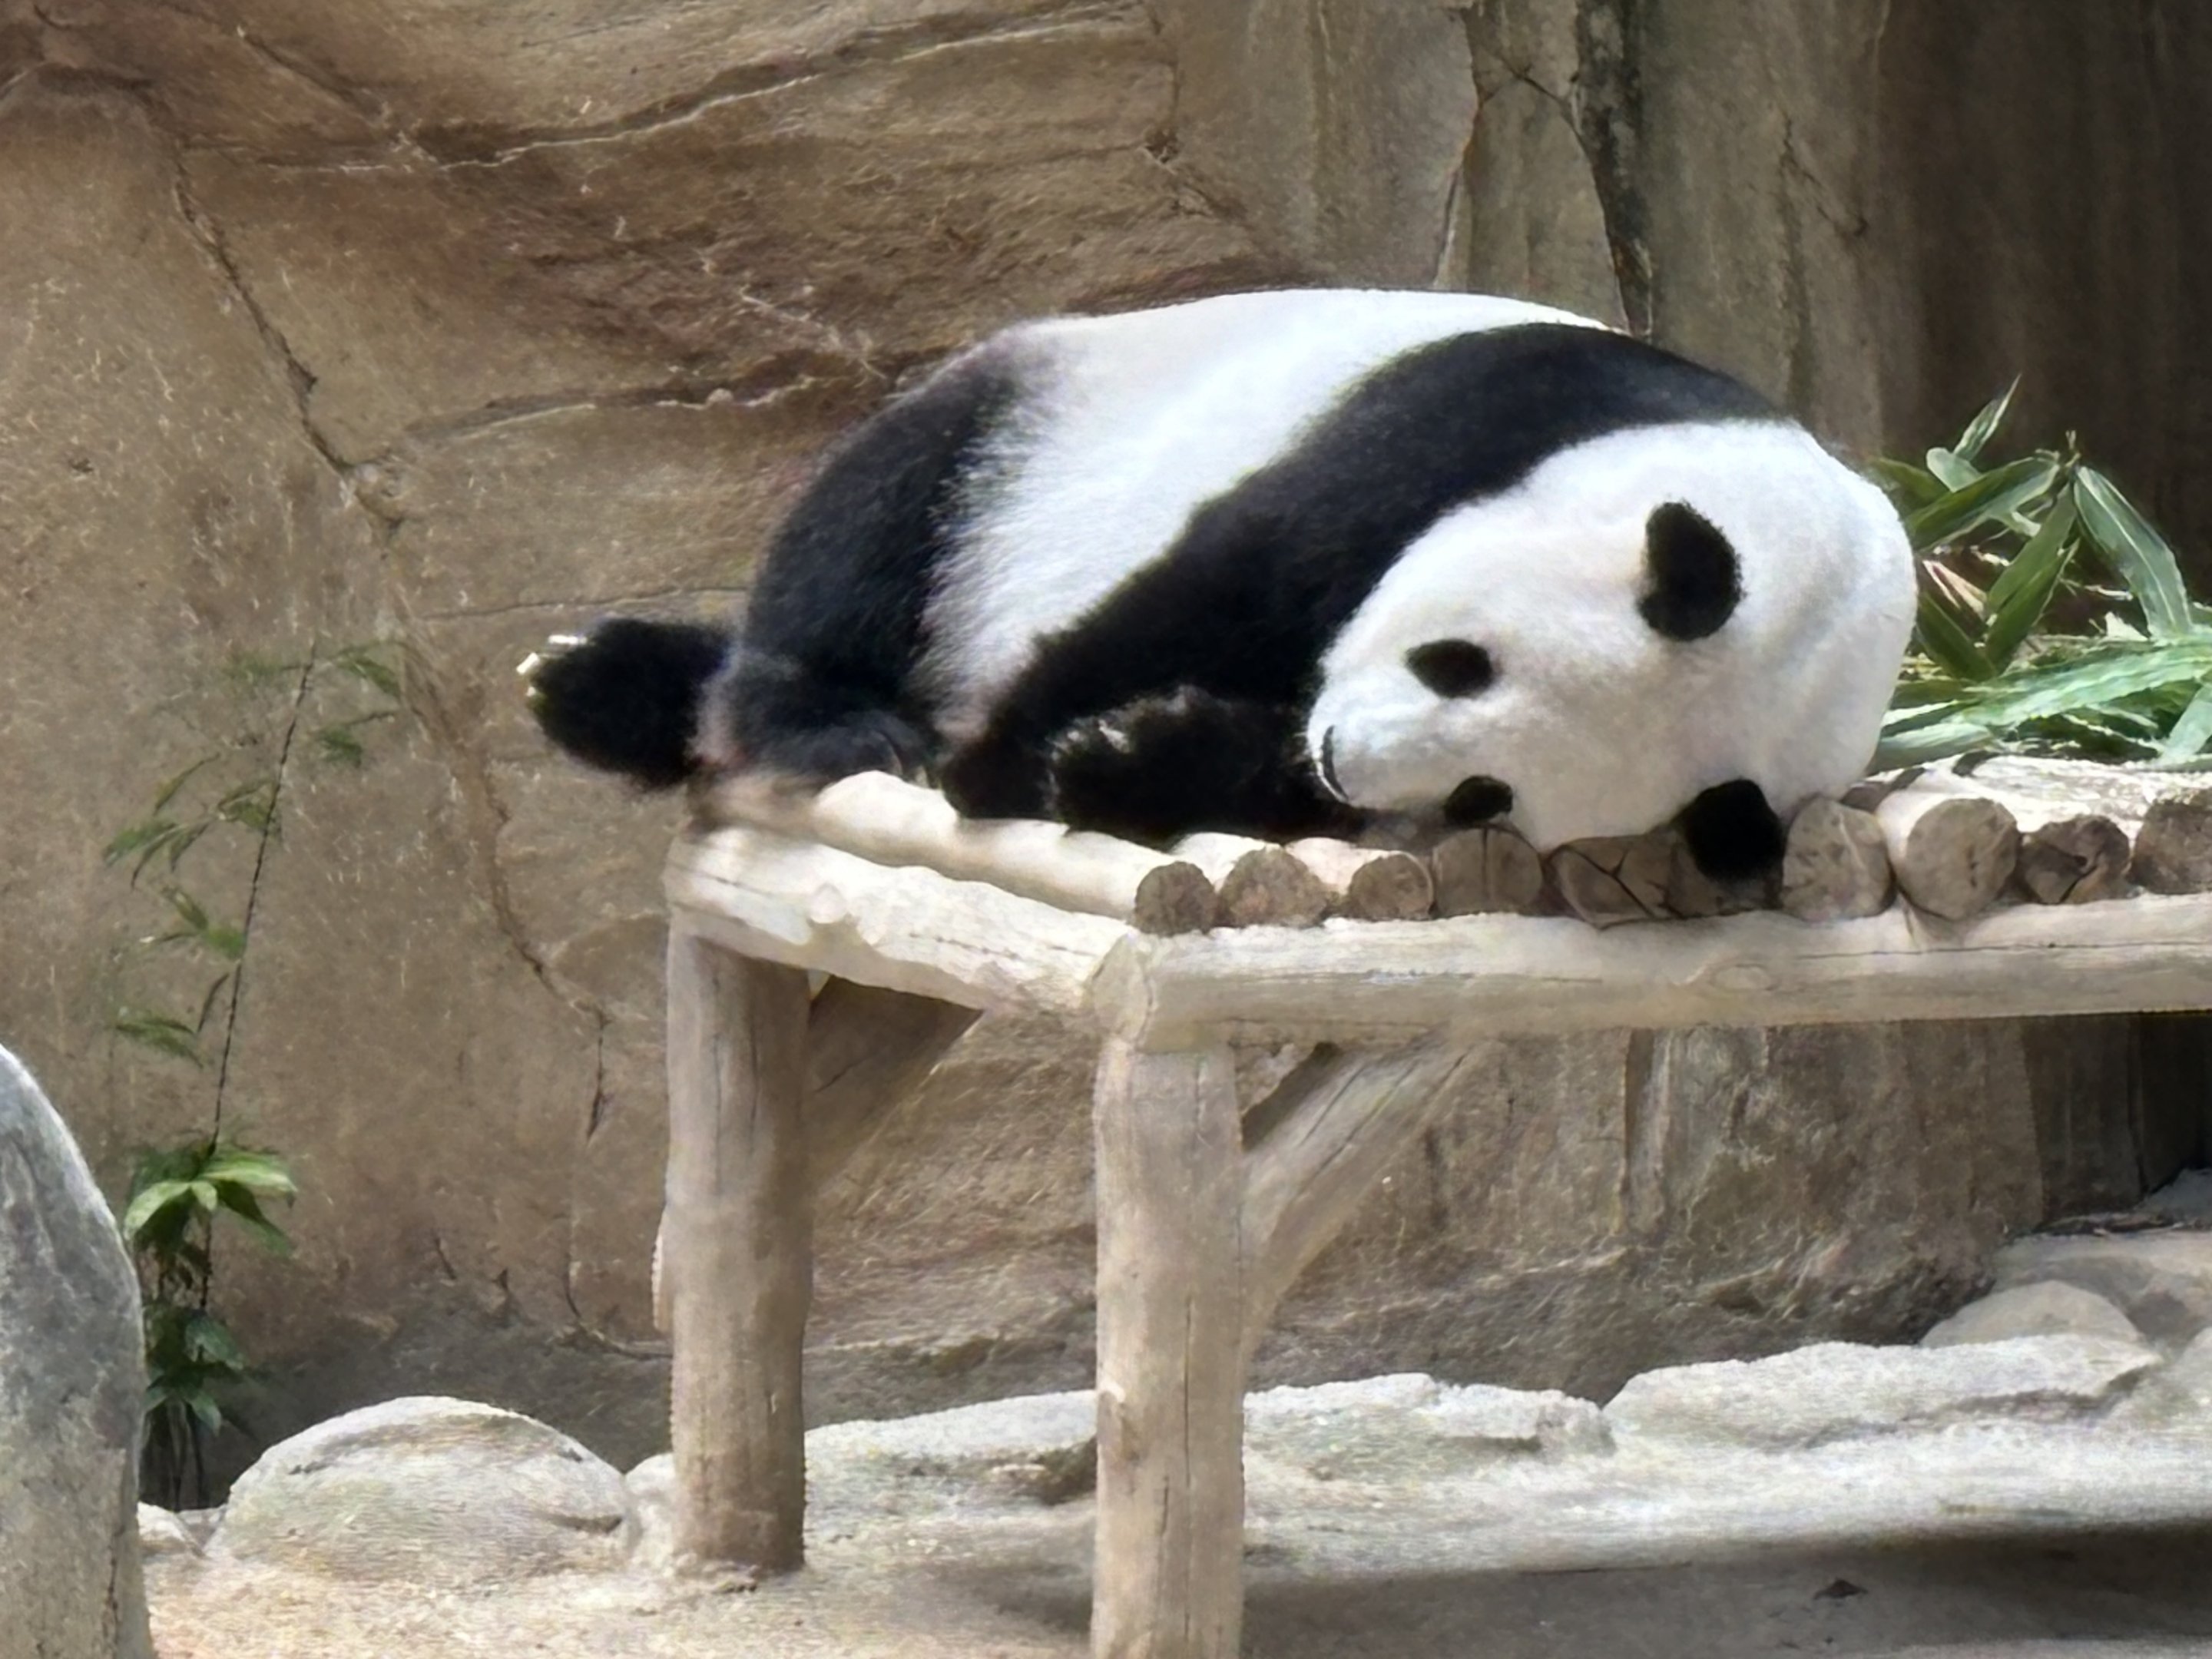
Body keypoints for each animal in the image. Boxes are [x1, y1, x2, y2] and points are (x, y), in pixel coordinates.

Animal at [526, 288, 1915, 880]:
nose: (1345, 751)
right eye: (1460, 663)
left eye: (1487, 796)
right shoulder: (1493, 419)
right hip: (1037, 410)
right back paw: (770, 707)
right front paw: (1007, 759)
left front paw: (1132, 758)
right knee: (874, 524)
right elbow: (1235, 576)